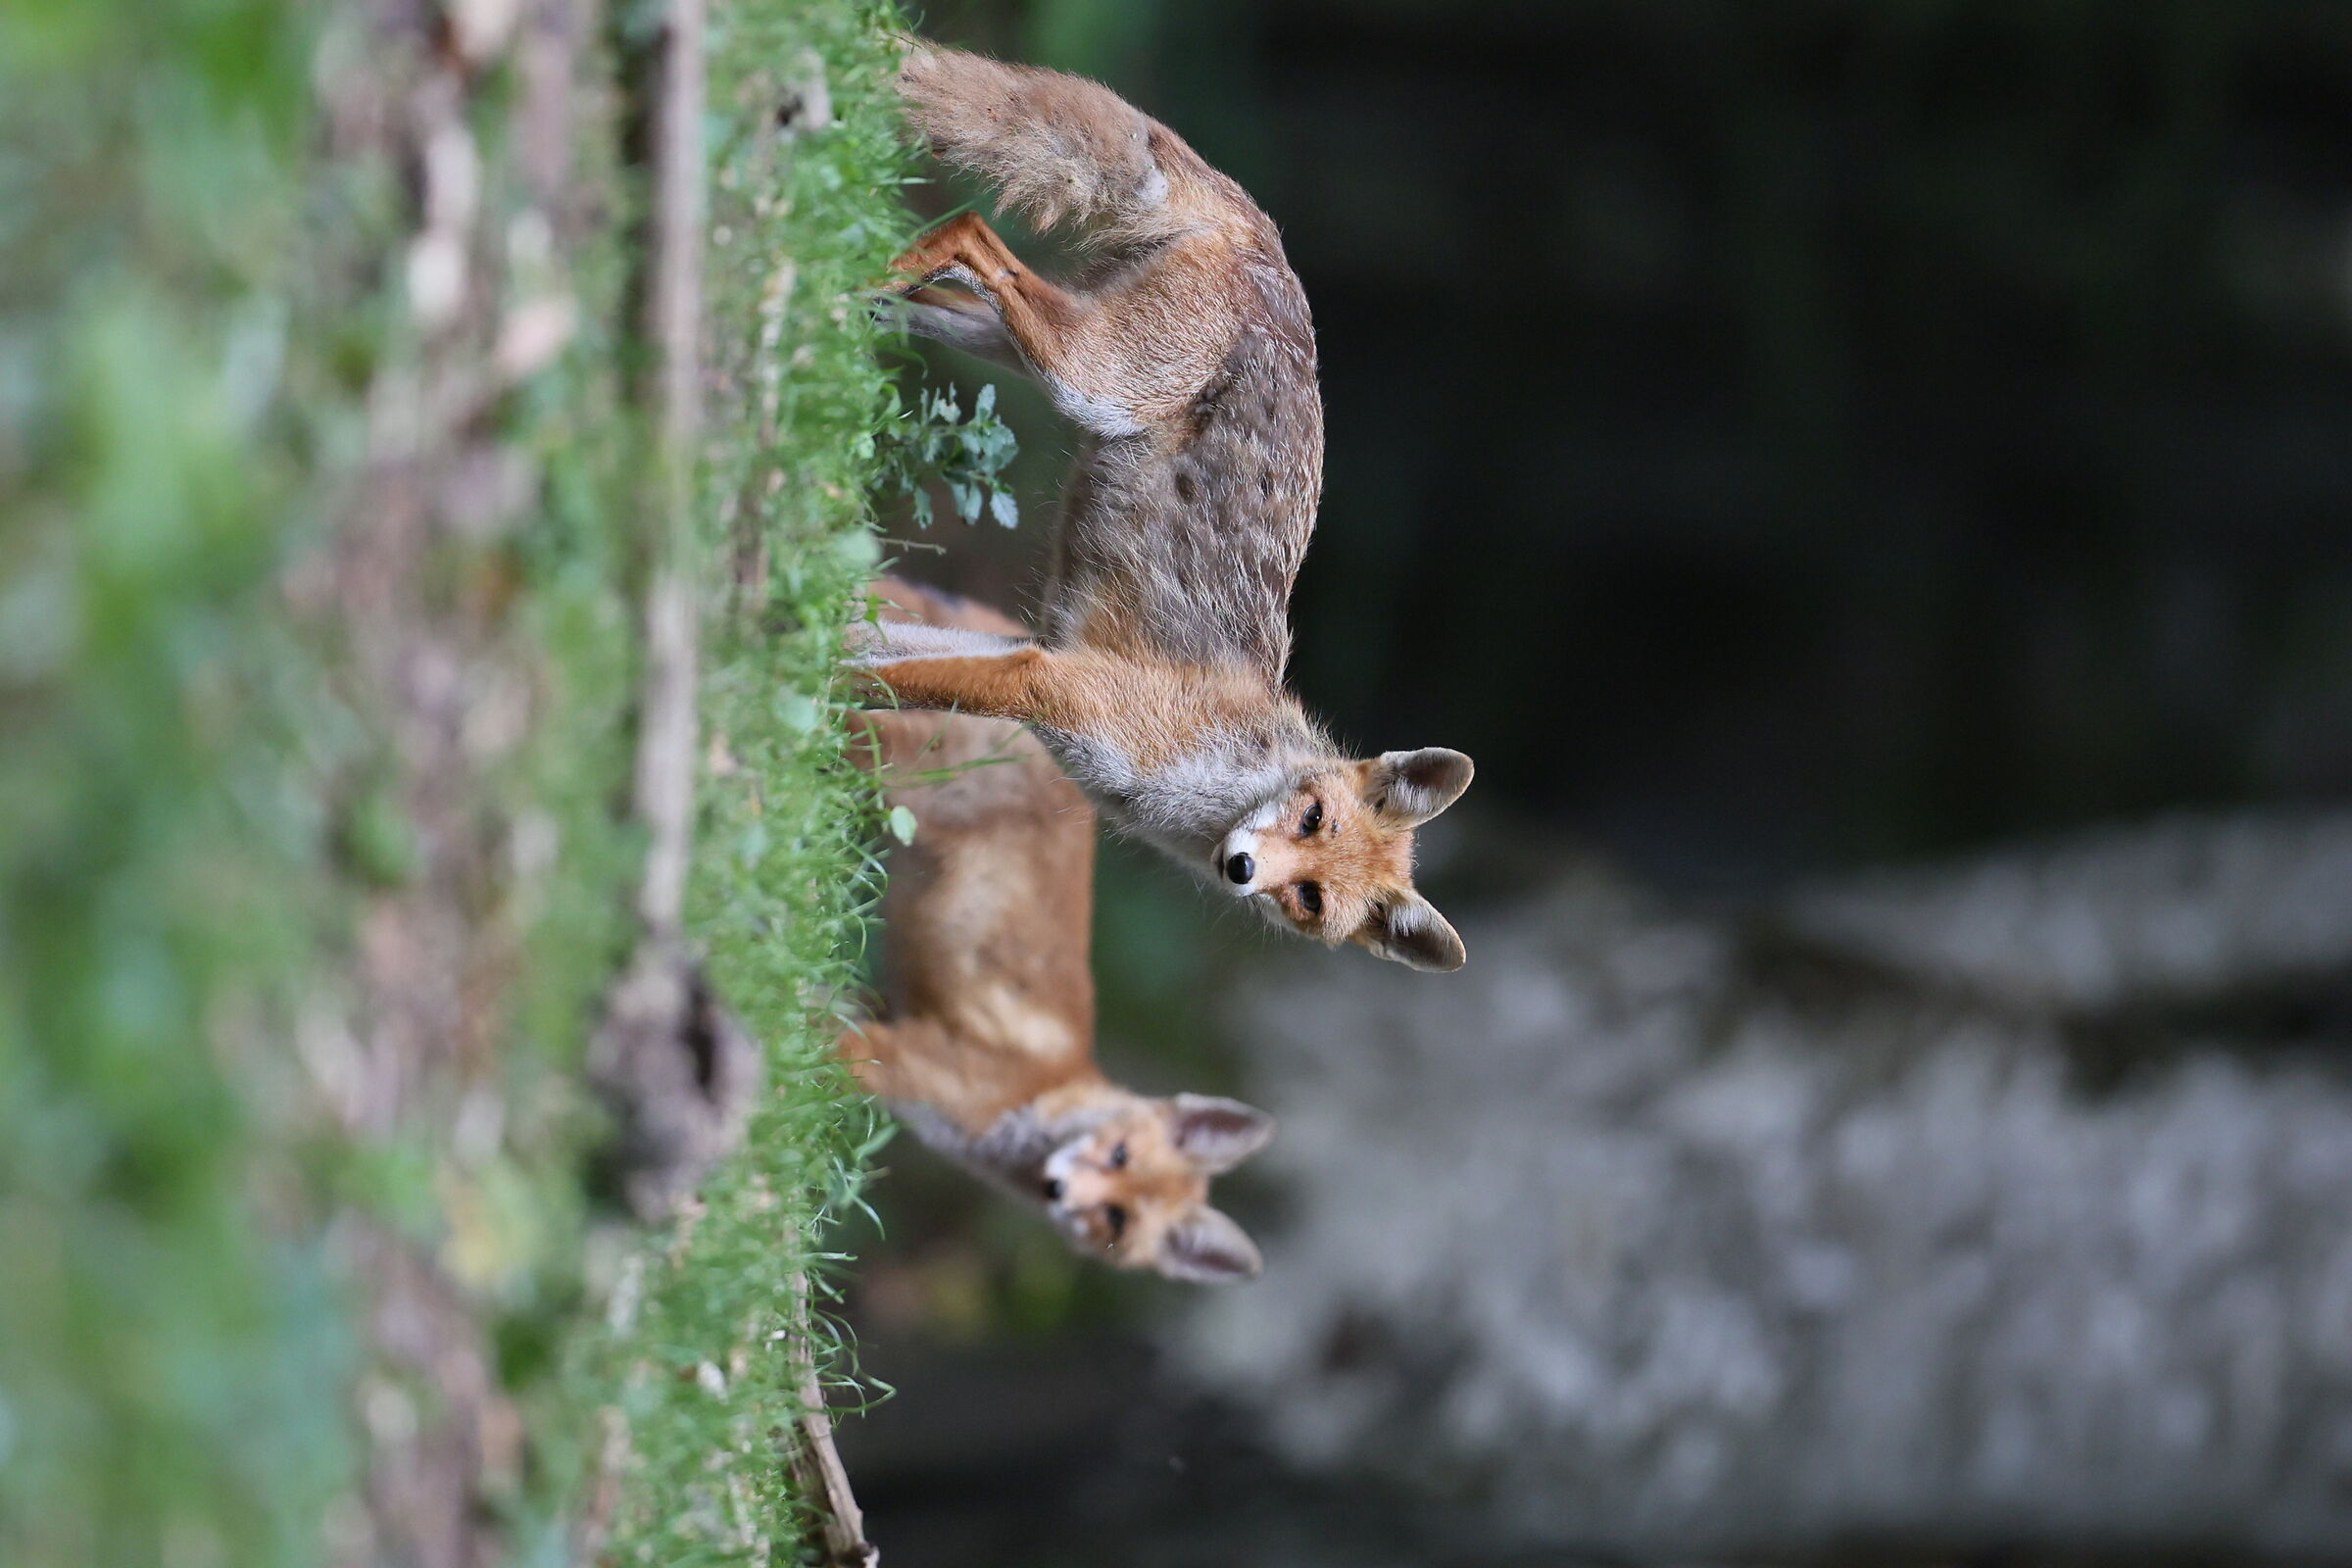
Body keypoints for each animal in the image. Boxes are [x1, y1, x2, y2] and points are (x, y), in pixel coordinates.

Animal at [837, 578, 1275, 1283]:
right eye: (1118, 1154)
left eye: (1116, 1220)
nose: (1058, 1189)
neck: (1045, 1098)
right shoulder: (904, 1064)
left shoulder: (889, 1024)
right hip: (899, 765)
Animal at [856, 40, 1474, 972]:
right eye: (1312, 817)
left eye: (1310, 899)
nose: (1242, 867)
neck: (1205, 780)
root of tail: (1271, 235)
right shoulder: (1051, 684)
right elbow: (873, 679)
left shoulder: (1026, 651)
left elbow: (878, 657)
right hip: (1091, 377)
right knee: (970, 230)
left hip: (1023, 348)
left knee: (941, 286)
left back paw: (844, 292)